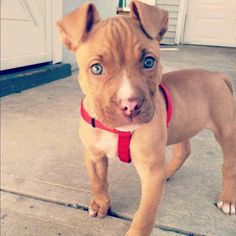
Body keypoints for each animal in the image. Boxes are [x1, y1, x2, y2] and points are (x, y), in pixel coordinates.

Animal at [57, 0, 236, 235]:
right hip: (183, 125)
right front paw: (101, 203)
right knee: (183, 150)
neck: (118, 132)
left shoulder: (150, 172)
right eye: (96, 68)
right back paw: (167, 172)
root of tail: (217, 75)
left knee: (229, 165)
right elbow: (98, 181)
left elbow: (145, 215)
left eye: (149, 62)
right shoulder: (94, 154)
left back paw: (228, 199)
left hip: (227, 131)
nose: (130, 105)